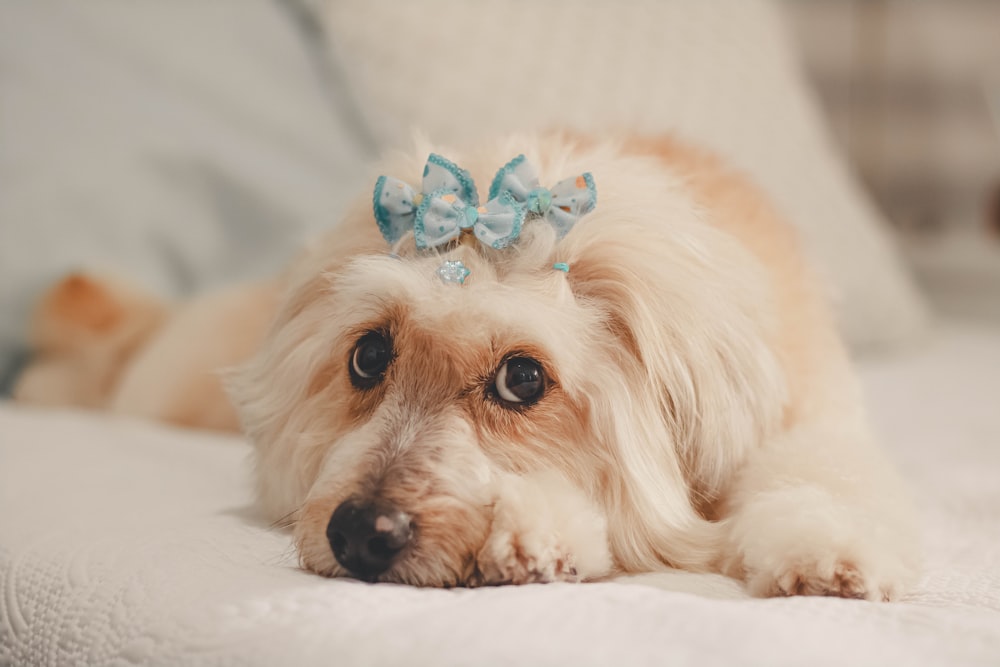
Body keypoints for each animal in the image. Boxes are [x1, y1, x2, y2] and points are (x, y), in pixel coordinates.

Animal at [17, 133, 920, 596]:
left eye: (523, 379)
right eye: (369, 355)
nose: (360, 534)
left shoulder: (810, 418)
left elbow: (814, 475)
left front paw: (819, 545)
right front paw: (538, 530)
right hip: (167, 383)